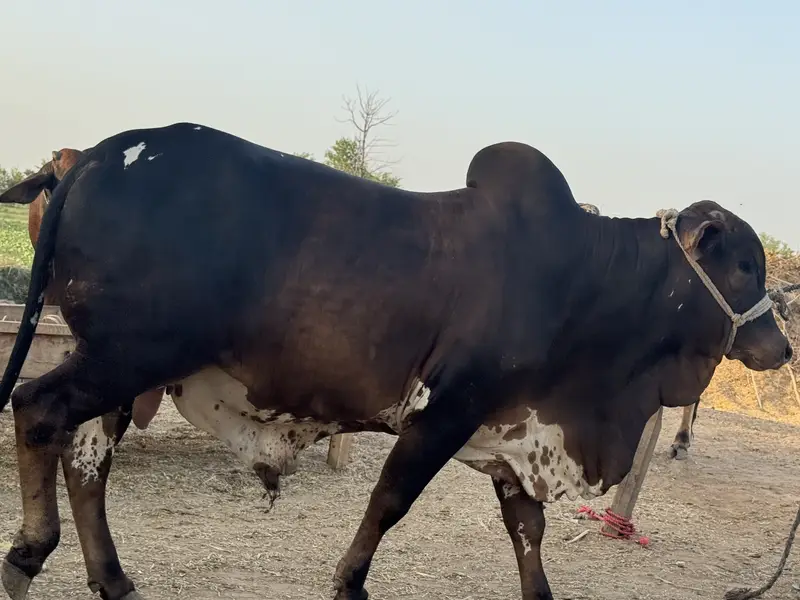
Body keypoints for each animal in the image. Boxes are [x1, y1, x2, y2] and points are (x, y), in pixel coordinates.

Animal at [0, 122, 791, 600]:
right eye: (745, 265)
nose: (780, 345)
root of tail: (92, 156)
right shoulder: (447, 409)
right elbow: (389, 501)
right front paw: (349, 581)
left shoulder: (518, 436)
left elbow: (527, 532)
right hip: (128, 355)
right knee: (38, 410)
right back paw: (29, 554)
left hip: (125, 369)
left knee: (87, 458)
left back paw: (112, 578)